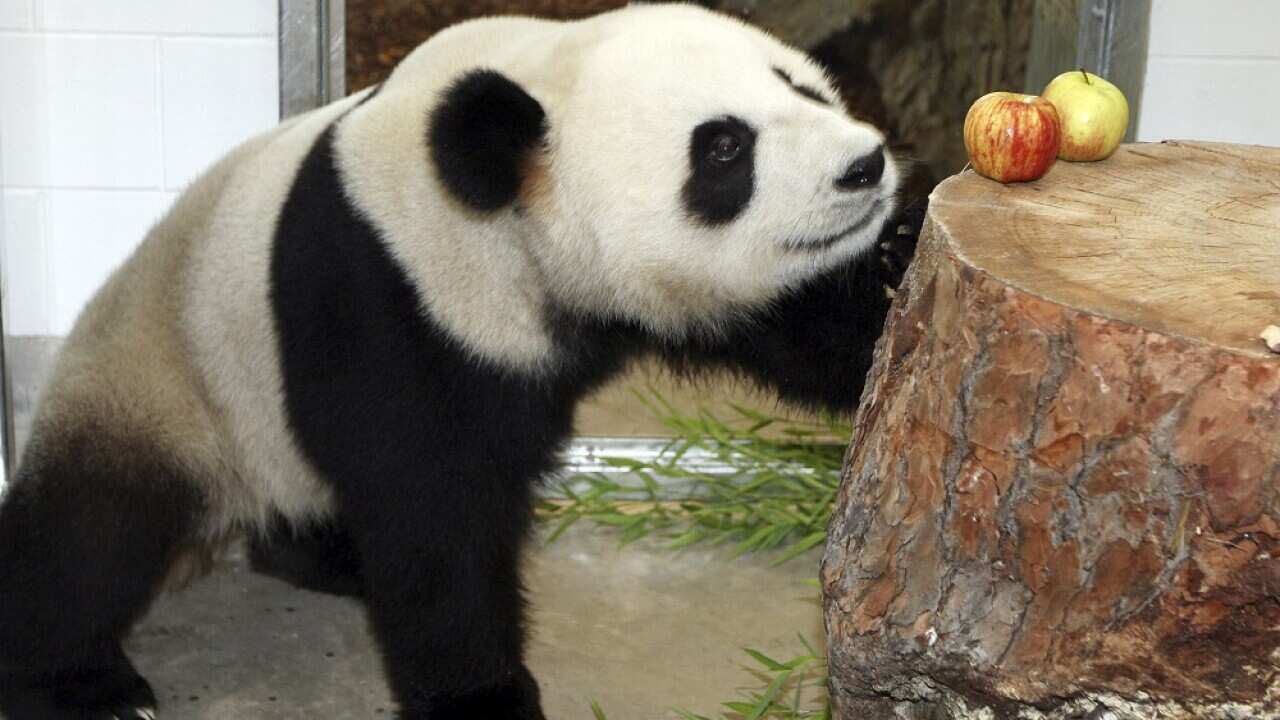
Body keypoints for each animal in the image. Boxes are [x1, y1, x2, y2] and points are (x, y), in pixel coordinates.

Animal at [0, 4, 911, 719]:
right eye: (723, 148)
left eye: (800, 86)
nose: (864, 165)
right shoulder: (385, 288)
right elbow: (429, 504)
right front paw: (484, 699)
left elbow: (819, 335)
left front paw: (900, 257)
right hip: (165, 379)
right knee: (91, 535)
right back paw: (84, 683)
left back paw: (325, 556)